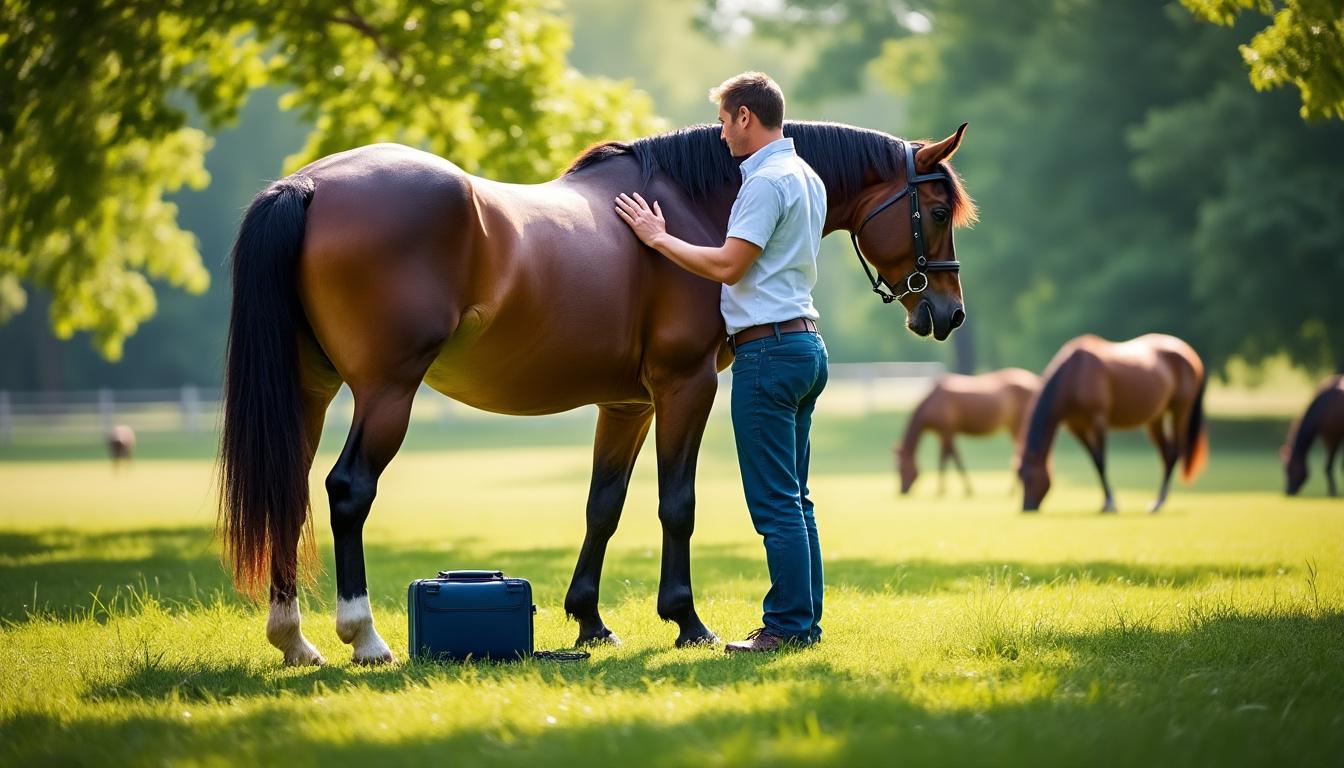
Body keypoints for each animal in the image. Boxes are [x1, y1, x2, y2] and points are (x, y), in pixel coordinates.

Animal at [218, 120, 977, 665]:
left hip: (310, 392)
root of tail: (308, 187)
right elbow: (677, 505)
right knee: (348, 490)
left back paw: (294, 640)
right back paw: (365, 637)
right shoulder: (686, 386)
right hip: (387, 390)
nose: (948, 313)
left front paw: (589, 622)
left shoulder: (627, 405)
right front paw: (687, 622)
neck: (696, 205)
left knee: (288, 488)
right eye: (937, 209)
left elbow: (602, 507)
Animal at [895, 368, 1039, 496]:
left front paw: (945, 489)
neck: (932, 403)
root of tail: (1035, 381)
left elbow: (950, 458)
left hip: (1019, 425)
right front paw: (949, 488)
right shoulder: (944, 434)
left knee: (1019, 452)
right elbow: (950, 457)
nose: (902, 491)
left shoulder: (947, 431)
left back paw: (1014, 489)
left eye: (900, 468)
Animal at [1018, 334, 1207, 513]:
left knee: (1175, 452)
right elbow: (1094, 461)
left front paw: (1110, 503)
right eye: (1020, 477)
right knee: (1166, 454)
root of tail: (1191, 354)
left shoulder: (1098, 420)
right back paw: (1157, 502)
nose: (1027, 507)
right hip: (1156, 417)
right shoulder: (1076, 426)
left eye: (1030, 477)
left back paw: (1159, 502)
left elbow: (1101, 462)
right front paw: (1106, 502)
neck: (1074, 374)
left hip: (1181, 410)